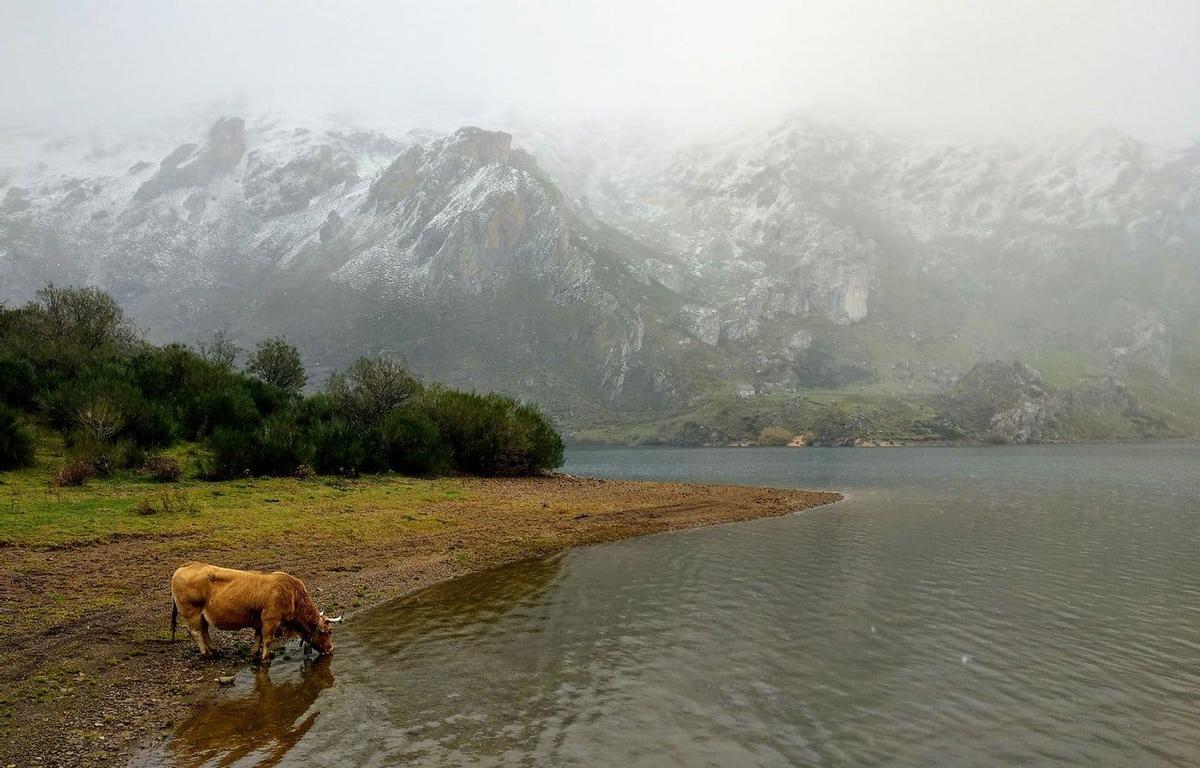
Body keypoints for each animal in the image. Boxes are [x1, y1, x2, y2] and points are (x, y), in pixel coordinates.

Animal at [170, 562, 342, 662]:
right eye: (329, 631)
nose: (331, 649)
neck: (293, 595)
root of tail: (183, 567)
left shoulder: (260, 621)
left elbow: (258, 637)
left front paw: (254, 653)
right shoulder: (271, 620)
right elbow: (267, 640)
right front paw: (265, 658)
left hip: (202, 615)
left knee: (205, 631)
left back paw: (215, 650)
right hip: (191, 611)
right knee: (197, 633)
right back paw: (205, 653)